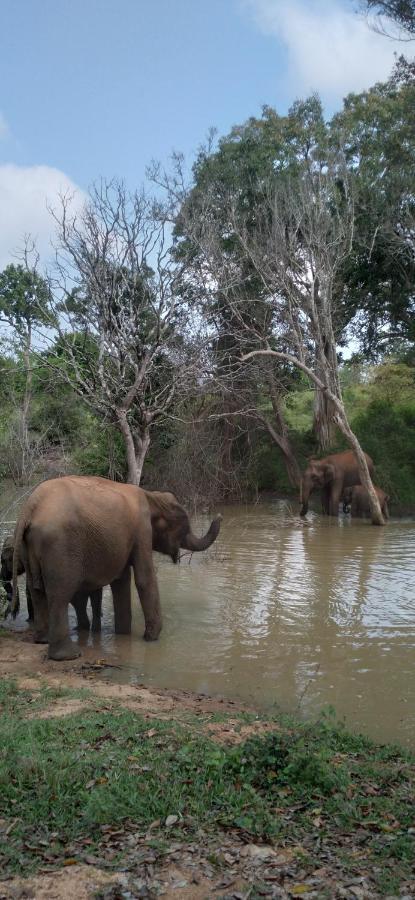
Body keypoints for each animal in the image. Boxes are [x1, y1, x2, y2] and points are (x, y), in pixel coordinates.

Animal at [9, 478, 223, 660]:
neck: (152, 496)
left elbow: (122, 580)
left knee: (37, 590)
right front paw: (151, 639)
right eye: (183, 527)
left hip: (29, 548)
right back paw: (69, 655)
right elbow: (144, 578)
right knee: (60, 594)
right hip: (59, 546)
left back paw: (42, 640)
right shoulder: (142, 529)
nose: (219, 515)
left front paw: (124, 635)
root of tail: (29, 509)